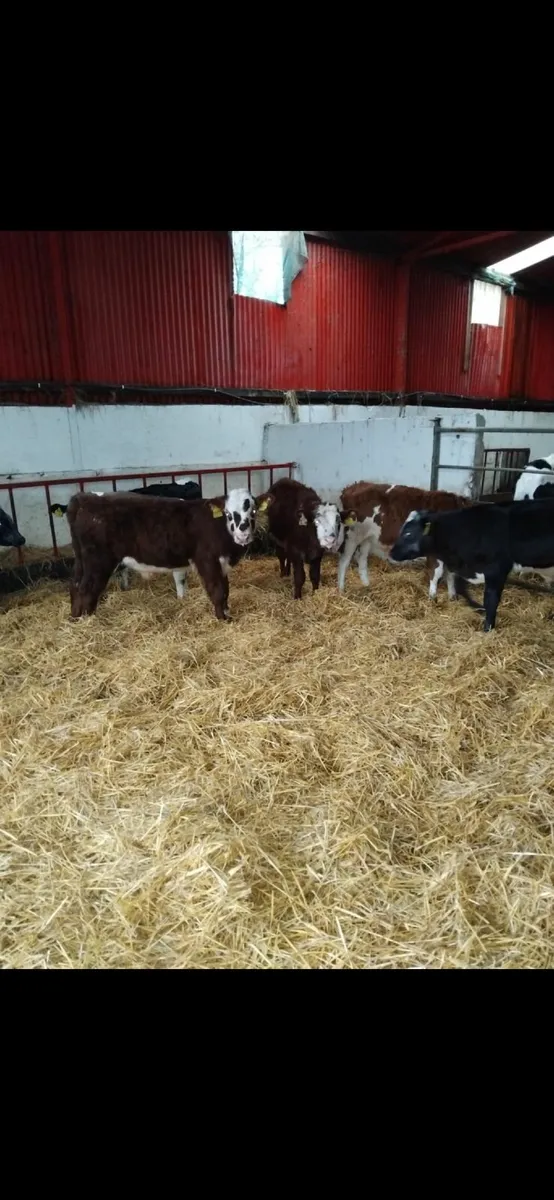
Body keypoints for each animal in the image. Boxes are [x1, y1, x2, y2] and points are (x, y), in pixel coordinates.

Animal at [66, 487, 256, 621]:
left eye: (253, 511)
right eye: (228, 514)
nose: (243, 533)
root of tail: (84, 497)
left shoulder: (222, 564)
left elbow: (226, 589)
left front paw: (226, 612)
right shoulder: (207, 561)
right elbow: (217, 590)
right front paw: (223, 618)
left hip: (81, 560)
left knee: (75, 586)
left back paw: (75, 617)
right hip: (98, 561)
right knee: (86, 589)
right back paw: (89, 619)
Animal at [337, 482, 471, 598]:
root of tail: (354, 485)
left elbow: (451, 574)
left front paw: (452, 596)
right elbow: (436, 572)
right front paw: (432, 596)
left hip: (367, 537)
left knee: (362, 559)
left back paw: (366, 584)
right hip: (353, 535)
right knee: (345, 560)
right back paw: (341, 589)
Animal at [389, 497, 554, 632]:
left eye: (408, 534)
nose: (391, 553)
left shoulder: (497, 570)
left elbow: (491, 600)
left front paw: (487, 629)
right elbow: (455, 583)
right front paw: (454, 599)